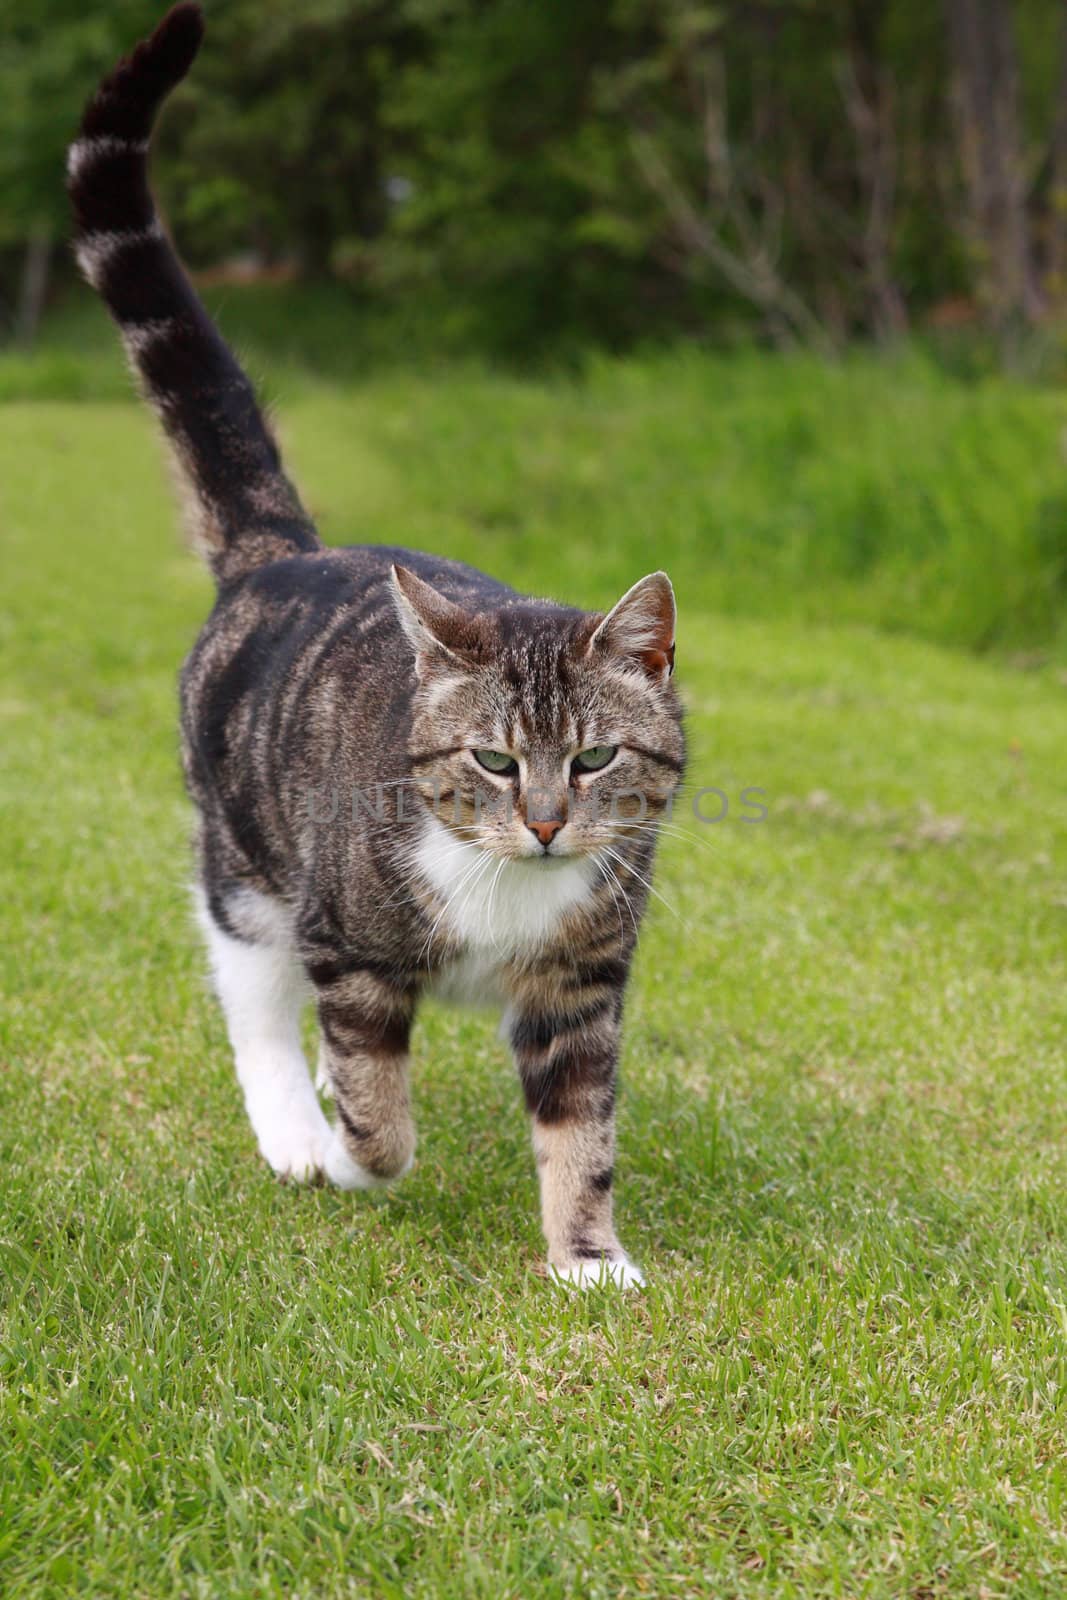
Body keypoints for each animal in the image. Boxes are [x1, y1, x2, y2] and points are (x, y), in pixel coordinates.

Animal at [68, 3, 684, 1286]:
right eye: (494, 760)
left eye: (594, 757)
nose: (544, 824)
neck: (508, 891)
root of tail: (281, 550)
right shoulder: (345, 944)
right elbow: (377, 1104)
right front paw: (351, 1154)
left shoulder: (582, 981)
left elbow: (581, 1125)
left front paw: (587, 1257)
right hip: (244, 859)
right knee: (254, 995)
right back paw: (294, 1127)